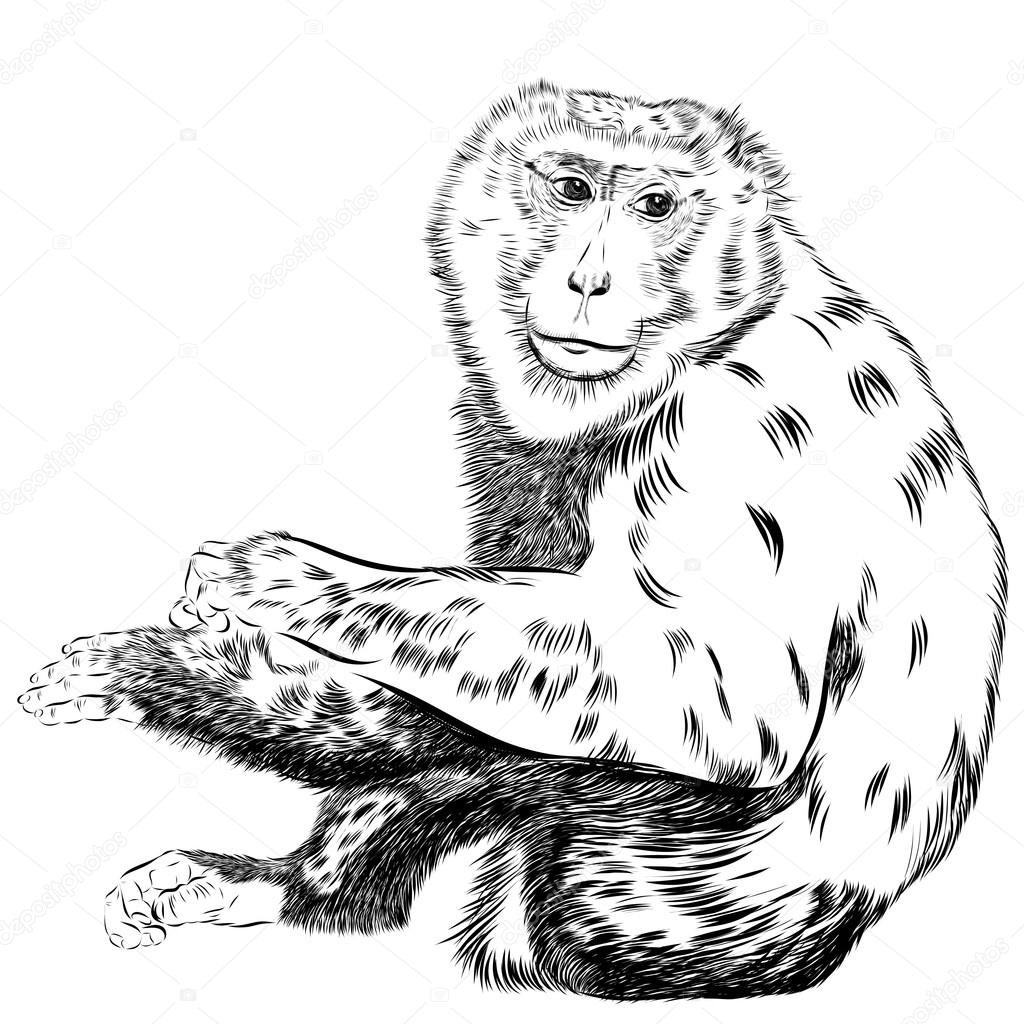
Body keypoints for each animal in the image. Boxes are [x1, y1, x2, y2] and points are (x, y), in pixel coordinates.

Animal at [20, 81, 1006, 1000]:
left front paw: (291, 585)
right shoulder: (509, 437)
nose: (588, 281)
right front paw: (171, 672)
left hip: (674, 897)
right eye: (570, 188)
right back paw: (293, 886)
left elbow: (726, 701)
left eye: (655, 205)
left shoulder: (742, 423)